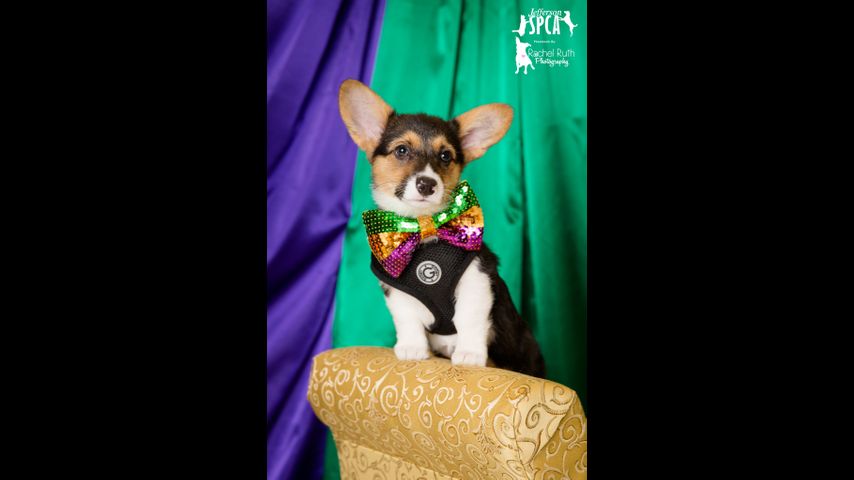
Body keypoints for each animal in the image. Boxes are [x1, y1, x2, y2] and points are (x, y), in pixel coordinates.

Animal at [338, 79, 545, 378]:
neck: (423, 229)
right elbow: (407, 319)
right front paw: (412, 348)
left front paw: (469, 354)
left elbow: (469, 318)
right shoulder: (396, 291)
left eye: (446, 155)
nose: (427, 184)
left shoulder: (476, 280)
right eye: (402, 150)